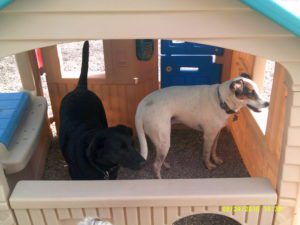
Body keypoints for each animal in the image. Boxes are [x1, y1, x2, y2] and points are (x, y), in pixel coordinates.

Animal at [135, 74, 268, 178]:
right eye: (251, 93)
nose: (267, 103)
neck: (221, 100)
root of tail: (143, 104)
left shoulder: (216, 133)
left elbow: (213, 150)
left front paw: (216, 159)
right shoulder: (208, 136)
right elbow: (206, 153)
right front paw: (208, 165)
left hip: (160, 140)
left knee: (159, 158)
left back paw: (166, 165)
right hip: (164, 139)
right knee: (155, 165)